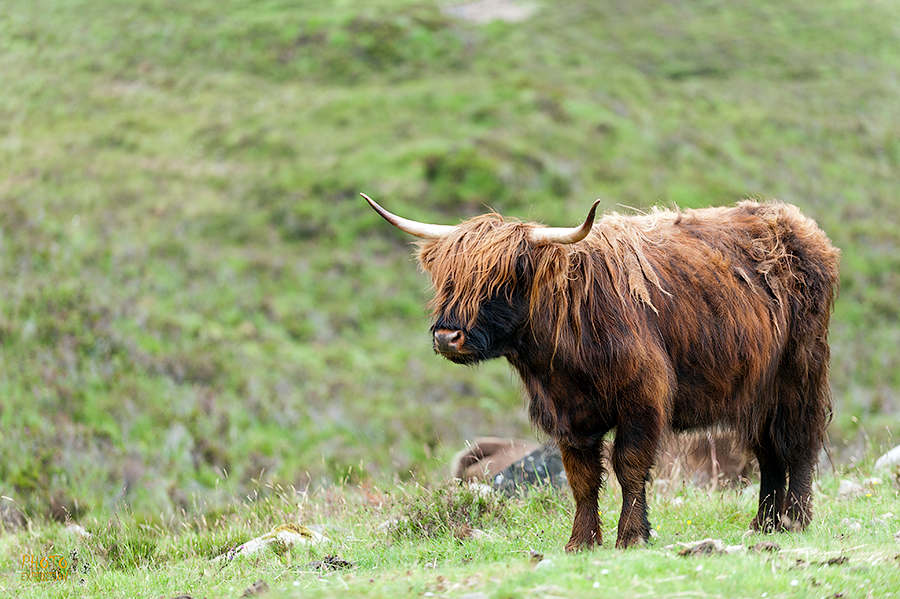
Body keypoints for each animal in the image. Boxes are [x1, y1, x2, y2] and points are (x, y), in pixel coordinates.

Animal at [362, 195, 840, 552]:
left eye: (503, 277)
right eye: (446, 277)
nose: (448, 336)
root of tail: (796, 224)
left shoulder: (642, 402)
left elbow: (629, 466)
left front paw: (631, 536)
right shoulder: (568, 416)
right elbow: (583, 478)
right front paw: (581, 541)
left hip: (799, 374)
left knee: (797, 442)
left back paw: (795, 521)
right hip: (757, 391)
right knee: (768, 450)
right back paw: (765, 524)